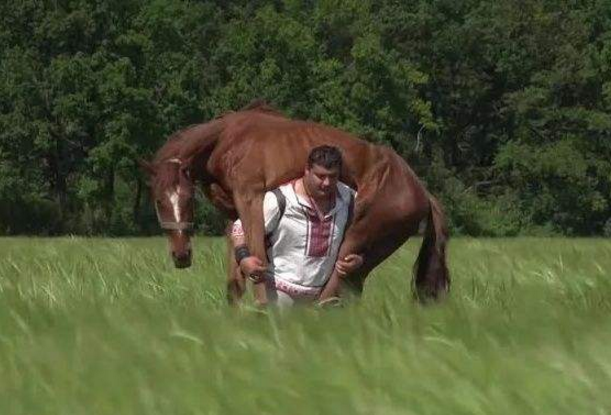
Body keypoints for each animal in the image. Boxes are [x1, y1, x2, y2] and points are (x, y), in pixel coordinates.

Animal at [142, 101, 450, 306]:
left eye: (186, 198)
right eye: (159, 201)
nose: (181, 255)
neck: (226, 139)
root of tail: (422, 191)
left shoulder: (251, 199)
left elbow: (259, 265)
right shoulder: (232, 214)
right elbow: (236, 281)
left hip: (355, 239)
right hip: (365, 256)